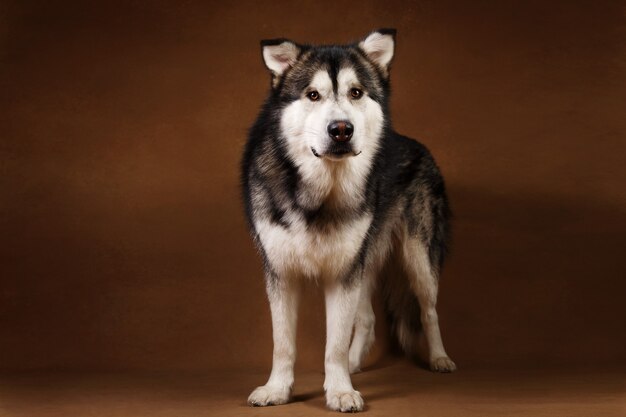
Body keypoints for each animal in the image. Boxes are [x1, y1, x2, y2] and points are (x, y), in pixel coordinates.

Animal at [240, 27, 454, 412]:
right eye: (313, 94)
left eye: (356, 92)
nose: (341, 129)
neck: (320, 192)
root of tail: (414, 143)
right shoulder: (281, 272)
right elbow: (283, 344)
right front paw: (277, 390)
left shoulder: (343, 274)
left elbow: (334, 344)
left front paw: (339, 390)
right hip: (364, 260)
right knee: (368, 318)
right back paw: (356, 364)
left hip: (417, 259)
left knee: (428, 309)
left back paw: (439, 358)